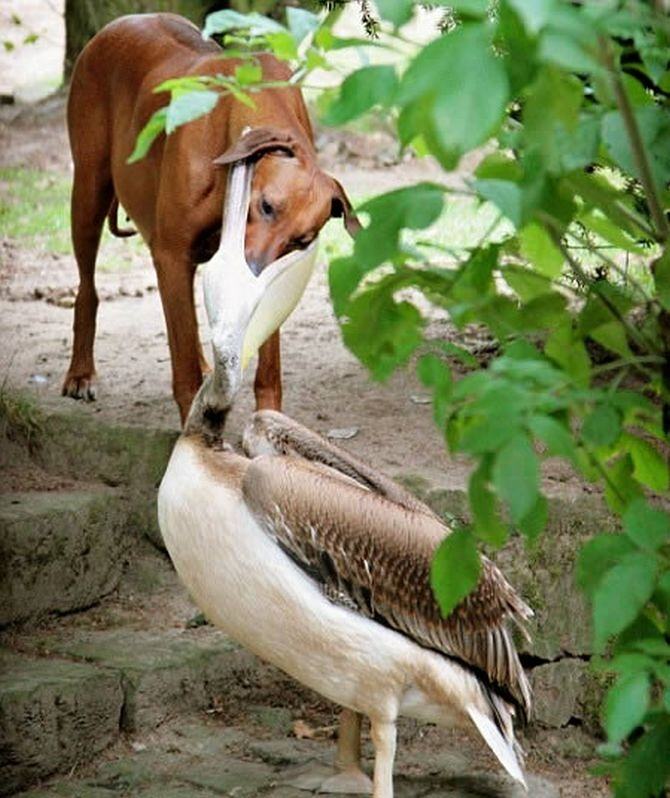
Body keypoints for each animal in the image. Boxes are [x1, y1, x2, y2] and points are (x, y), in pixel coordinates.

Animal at [63, 12, 360, 424]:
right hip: (89, 193)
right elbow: (183, 363)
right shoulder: (171, 256)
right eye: (266, 206)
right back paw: (81, 371)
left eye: (300, 241)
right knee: (87, 289)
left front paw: (268, 420)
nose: (252, 270)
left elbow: (267, 363)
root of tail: (119, 22)